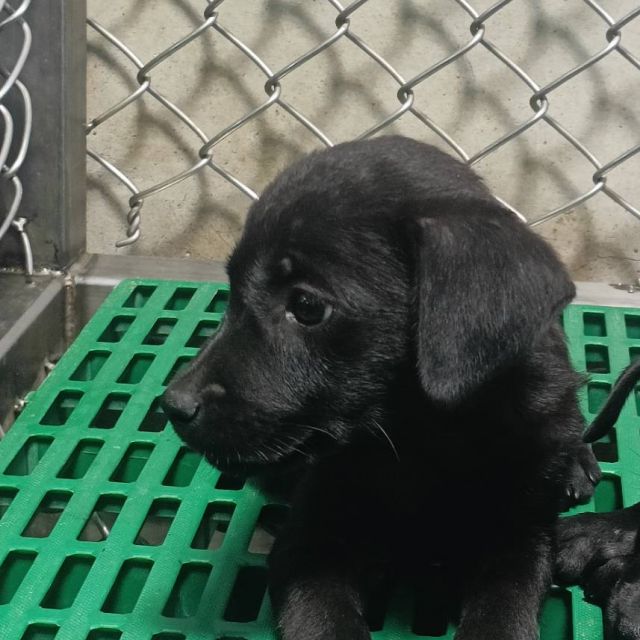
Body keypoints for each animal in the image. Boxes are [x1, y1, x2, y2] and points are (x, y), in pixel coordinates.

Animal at [162, 135, 599, 640]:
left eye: (306, 305)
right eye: (231, 290)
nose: (173, 406)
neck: (420, 444)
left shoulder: (520, 533)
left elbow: (504, 609)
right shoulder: (311, 536)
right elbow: (322, 619)